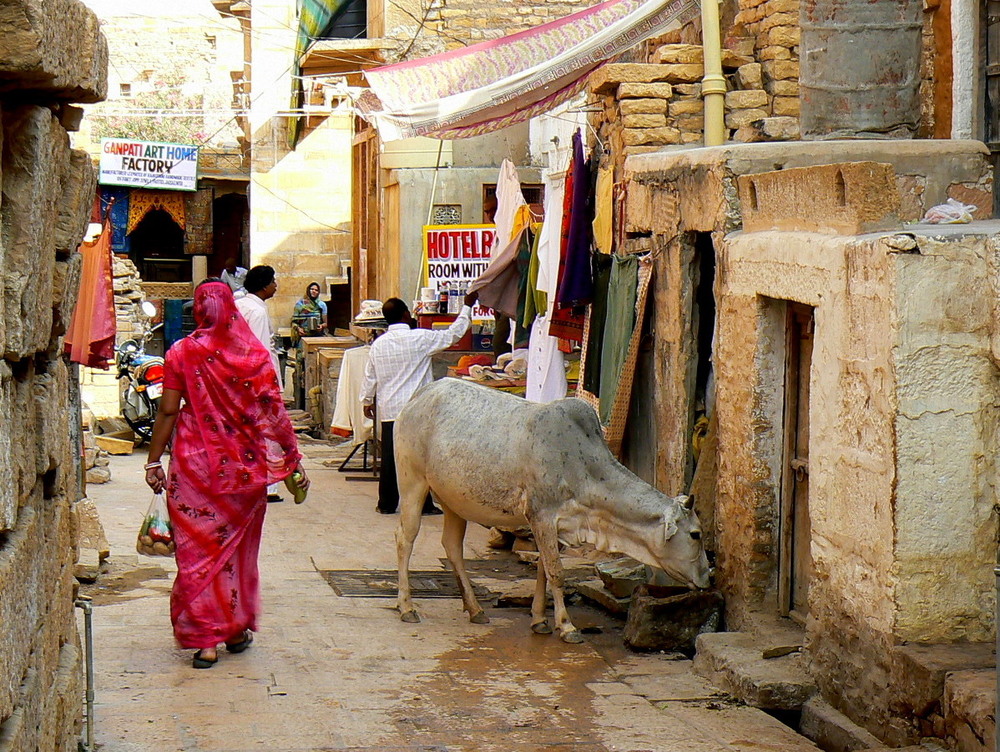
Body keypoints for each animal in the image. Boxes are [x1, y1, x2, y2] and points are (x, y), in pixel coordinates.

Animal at [390, 378, 712, 644]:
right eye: (696, 534)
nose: (707, 578)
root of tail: (422, 392)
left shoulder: (557, 525)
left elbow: (543, 569)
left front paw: (539, 620)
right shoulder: (542, 515)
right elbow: (556, 572)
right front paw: (567, 626)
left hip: (454, 500)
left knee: (452, 546)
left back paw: (475, 608)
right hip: (412, 483)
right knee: (405, 539)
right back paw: (407, 607)